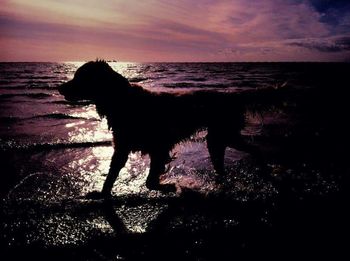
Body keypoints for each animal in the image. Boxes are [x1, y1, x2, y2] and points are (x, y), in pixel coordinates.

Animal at [58, 60, 282, 196]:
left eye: (80, 77)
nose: (59, 88)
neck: (124, 102)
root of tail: (233, 96)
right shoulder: (122, 147)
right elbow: (112, 174)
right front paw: (102, 194)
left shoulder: (159, 147)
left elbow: (150, 180)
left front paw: (168, 187)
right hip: (217, 139)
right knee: (225, 164)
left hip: (224, 135)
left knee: (254, 149)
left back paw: (263, 171)